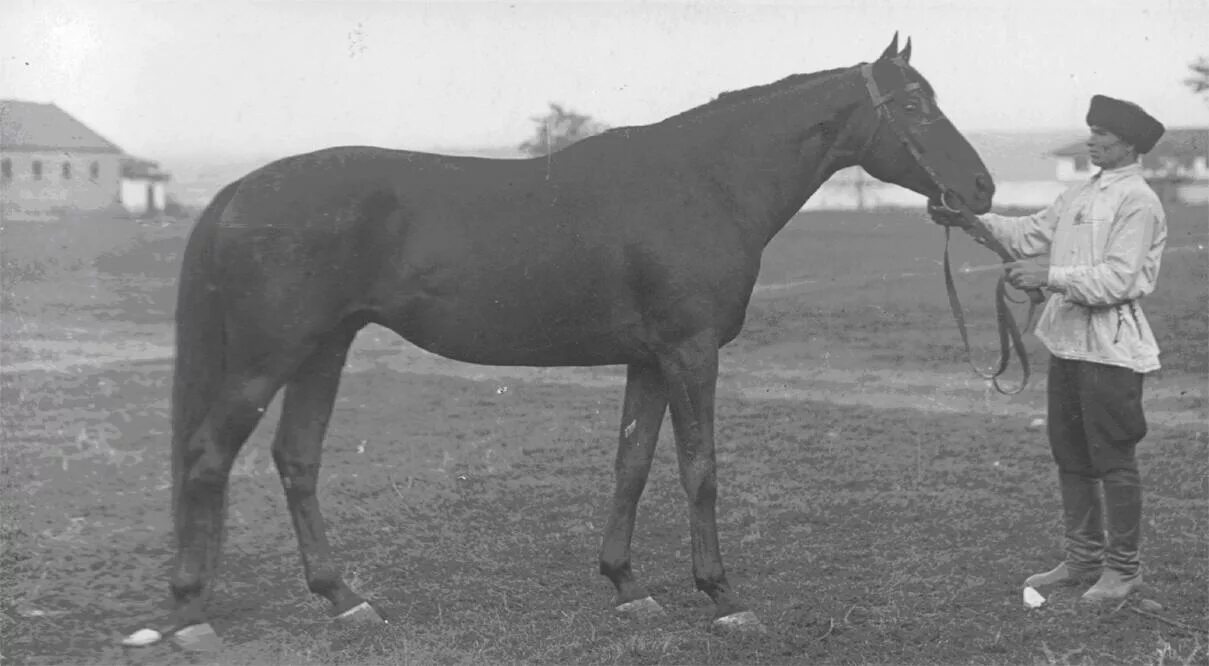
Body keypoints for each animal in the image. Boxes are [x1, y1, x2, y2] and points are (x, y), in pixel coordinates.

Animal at [129, 35, 991, 647]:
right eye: (915, 105)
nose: (980, 189)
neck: (703, 183)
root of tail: (241, 189)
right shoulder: (689, 352)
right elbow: (700, 469)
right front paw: (722, 597)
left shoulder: (649, 359)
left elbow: (632, 465)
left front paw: (627, 587)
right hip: (268, 357)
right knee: (208, 458)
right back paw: (193, 615)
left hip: (323, 349)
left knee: (295, 461)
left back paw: (345, 601)